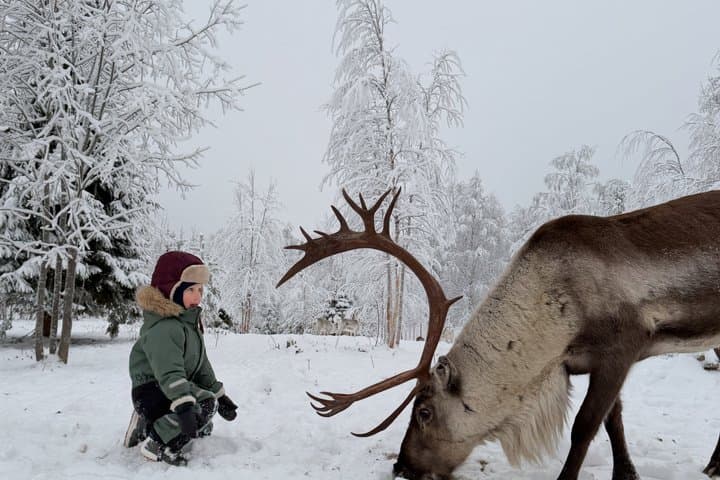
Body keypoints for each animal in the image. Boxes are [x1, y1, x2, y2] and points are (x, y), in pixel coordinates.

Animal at [276, 188, 720, 480]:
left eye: (424, 411)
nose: (401, 467)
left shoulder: (622, 346)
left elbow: (584, 427)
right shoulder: (592, 362)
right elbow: (615, 421)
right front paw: (627, 474)